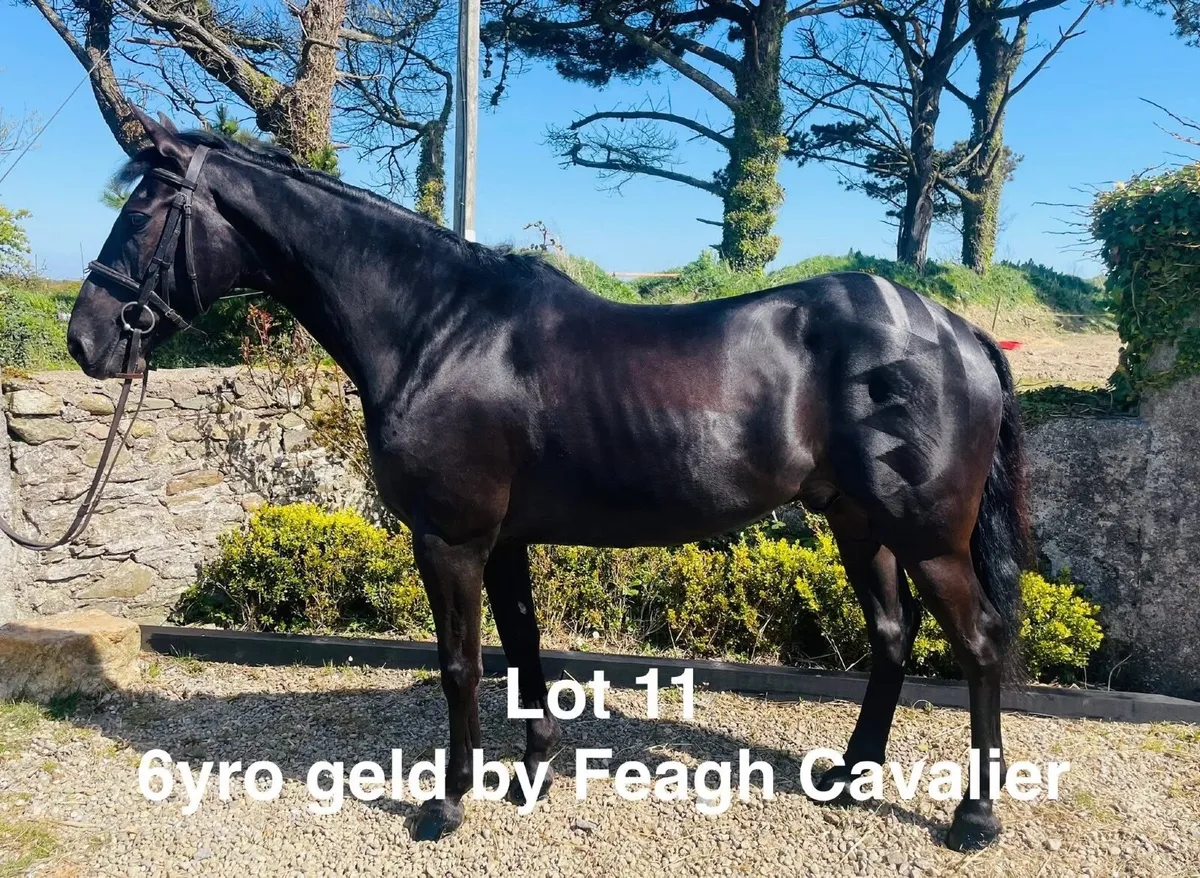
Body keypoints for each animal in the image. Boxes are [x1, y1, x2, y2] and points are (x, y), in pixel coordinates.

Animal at [65, 110, 1030, 851]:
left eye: (144, 213)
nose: (85, 339)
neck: (439, 328)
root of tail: (959, 333)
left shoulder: (448, 538)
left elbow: (461, 663)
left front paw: (447, 802)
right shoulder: (504, 541)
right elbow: (521, 650)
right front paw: (532, 773)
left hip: (927, 536)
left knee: (978, 643)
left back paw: (974, 817)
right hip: (858, 523)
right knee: (892, 636)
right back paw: (849, 774)